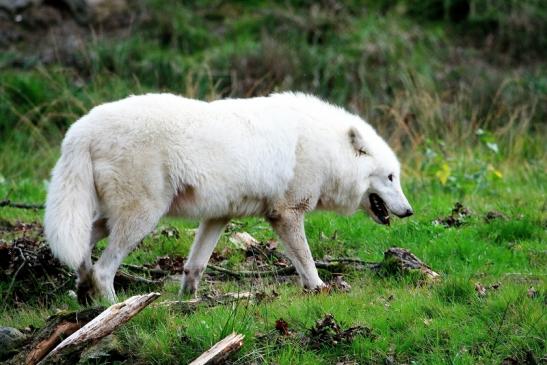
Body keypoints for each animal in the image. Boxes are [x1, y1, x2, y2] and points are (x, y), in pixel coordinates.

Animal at [45, 91, 414, 302]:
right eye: (390, 178)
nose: (409, 211)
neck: (328, 149)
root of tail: (80, 129)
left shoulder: (218, 217)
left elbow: (194, 266)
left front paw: (189, 303)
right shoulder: (286, 214)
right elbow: (307, 261)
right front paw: (319, 288)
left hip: (113, 219)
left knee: (81, 254)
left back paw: (84, 298)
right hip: (141, 219)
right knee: (103, 269)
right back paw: (113, 308)